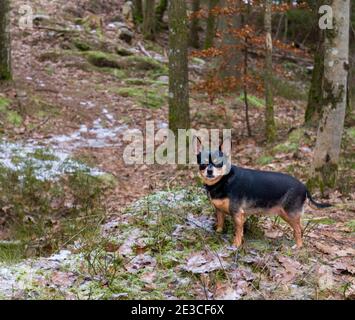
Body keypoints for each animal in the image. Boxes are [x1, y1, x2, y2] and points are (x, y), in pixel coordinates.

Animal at [195, 137, 330, 248]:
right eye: (203, 163)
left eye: (218, 162)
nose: (210, 171)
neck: (224, 180)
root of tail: (304, 186)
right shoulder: (219, 210)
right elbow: (220, 223)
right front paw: (218, 233)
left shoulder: (237, 214)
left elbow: (238, 231)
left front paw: (236, 245)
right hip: (285, 214)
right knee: (300, 228)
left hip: (290, 213)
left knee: (297, 229)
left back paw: (298, 246)